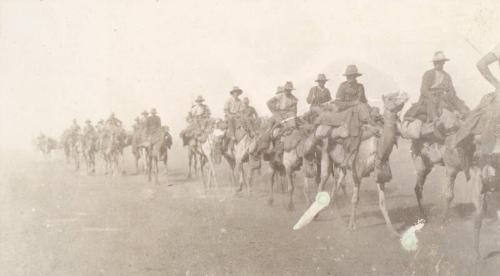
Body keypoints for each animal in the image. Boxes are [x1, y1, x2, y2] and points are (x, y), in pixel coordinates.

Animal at [318, 91, 408, 234]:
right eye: (390, 97)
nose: (405, 95)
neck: (377, 148)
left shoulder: (380, 175)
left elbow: (383, 202)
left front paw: (392, 230)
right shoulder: (357, 173)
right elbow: (355, 199)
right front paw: (351, 226)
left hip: (340, 164)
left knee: (338, 182)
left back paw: (334, 209)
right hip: (325, 152)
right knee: (323, 180)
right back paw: (316, 214)